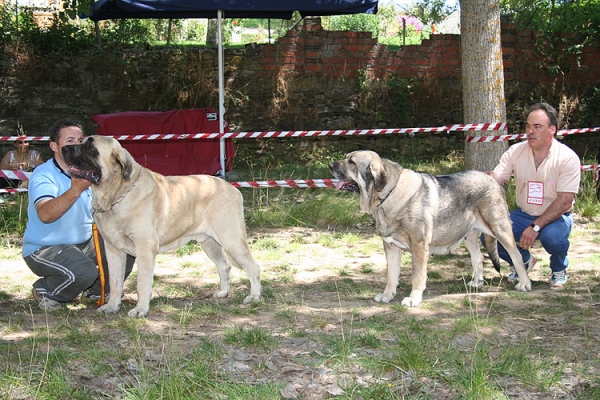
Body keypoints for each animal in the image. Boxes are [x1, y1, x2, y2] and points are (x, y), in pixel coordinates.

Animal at [62, 136, 262, 318]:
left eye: (90, 146)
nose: (64, 148)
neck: (117, 194)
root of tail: (232, 188)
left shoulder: (144, 249)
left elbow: (142, 282)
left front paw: (140, 310)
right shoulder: (113, 250)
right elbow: (115, 281)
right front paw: (112, 306)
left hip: (231, 239)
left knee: (253, 267)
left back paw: (254, 296)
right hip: (209, 243)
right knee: (224, 266)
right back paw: (223, 292)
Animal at [330, 150, 532, 306]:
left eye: (352, 162)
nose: (330, 165)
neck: (389, 194)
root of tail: (493, 180)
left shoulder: (419, 246)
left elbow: (417, 276)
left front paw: (413, 299)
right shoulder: (391, 246)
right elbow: (391, 275)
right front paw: (387, 296)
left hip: (500, 229)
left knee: (517, 256)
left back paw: (524, 284)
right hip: (469, 235)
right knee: (478, 258)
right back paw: (477, 282)